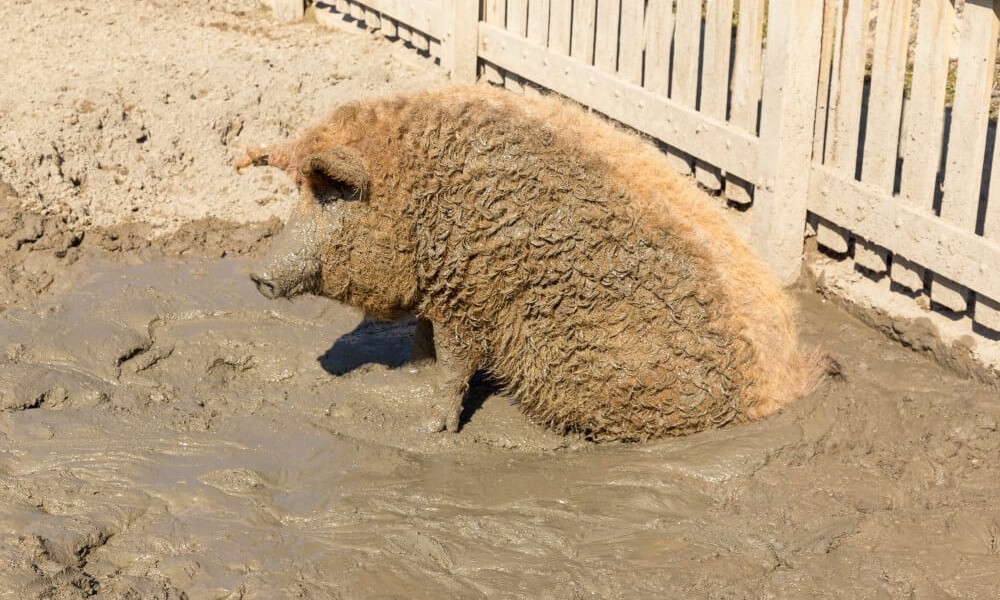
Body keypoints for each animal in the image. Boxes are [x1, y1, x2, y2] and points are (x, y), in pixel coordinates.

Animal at [240, 85, 820, 440]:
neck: (416, 198)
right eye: (299, 193)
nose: (257, 275)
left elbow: (454, 365)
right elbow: (423, 343)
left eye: (329, 196)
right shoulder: (440, 294)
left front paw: (429, 430)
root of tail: (784, 385)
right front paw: (410, 378)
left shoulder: (469, 298)